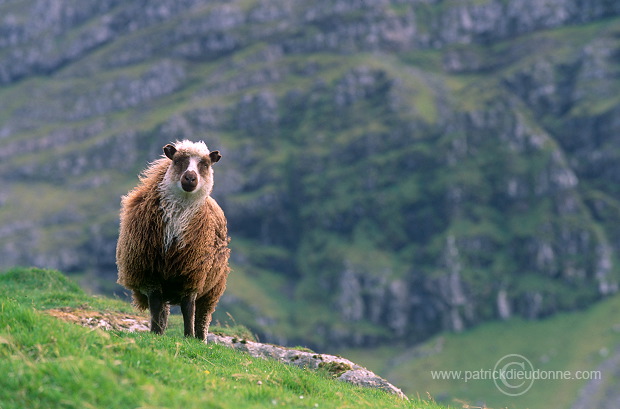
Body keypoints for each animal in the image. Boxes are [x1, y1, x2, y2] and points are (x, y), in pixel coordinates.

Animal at [115, 139, 230, 340]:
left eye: (205, 164)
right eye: (178, 160)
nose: (190, 178)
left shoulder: (192, 274)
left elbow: (188, 309)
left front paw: (188, 337)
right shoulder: (149, 274)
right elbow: (155, 306)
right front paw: (155, 333)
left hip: (213, 289)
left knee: (202, 317)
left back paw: (200, 339)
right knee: (163, 310)